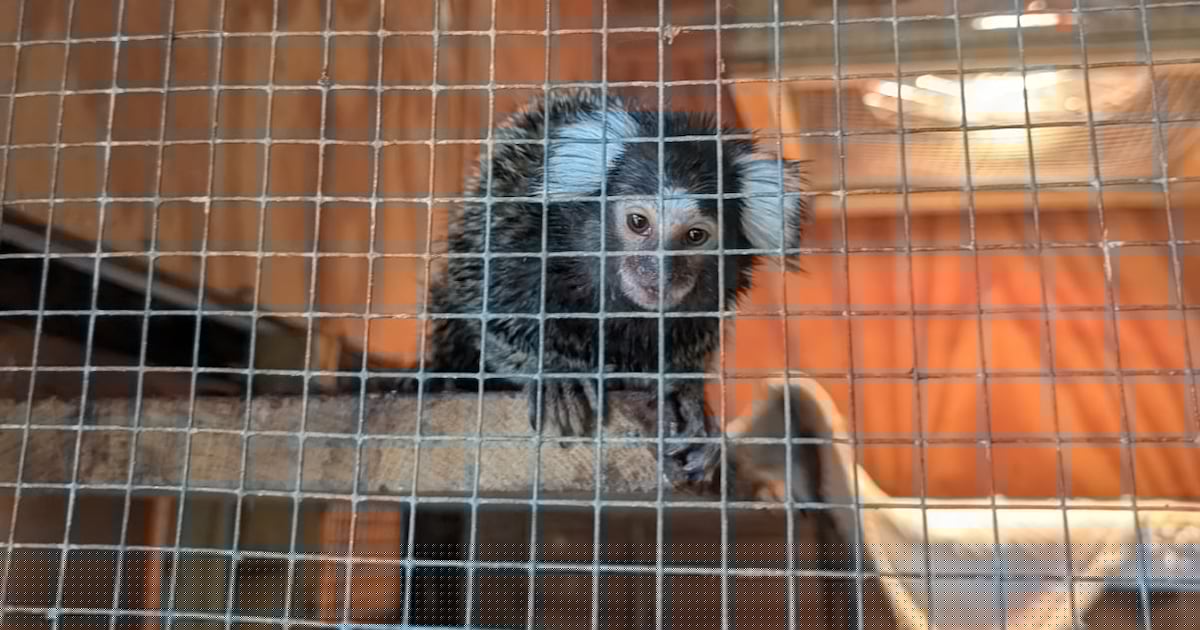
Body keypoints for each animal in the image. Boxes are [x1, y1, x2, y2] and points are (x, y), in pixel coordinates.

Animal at [409, 87, 807, 487]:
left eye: (695, 236)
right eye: (638, 222)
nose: (659, 273)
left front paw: (687, 396)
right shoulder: (513, 228)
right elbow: (491, 314)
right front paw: (555, 373)